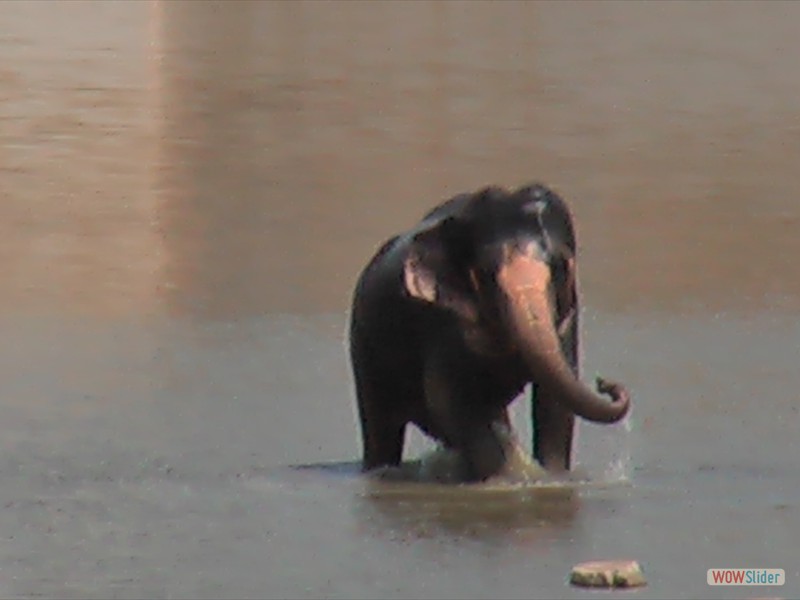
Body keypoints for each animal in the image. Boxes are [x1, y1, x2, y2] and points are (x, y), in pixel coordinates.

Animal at [350, 183, 632, 482]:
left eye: (560, 266)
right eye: (485, 272)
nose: (605, 384)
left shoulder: (568, 314)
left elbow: (554, 403)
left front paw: (551, 477)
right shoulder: (443, 322)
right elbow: (449, 399)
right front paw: (508, 479)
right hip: (364, 348)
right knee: (381, 428)